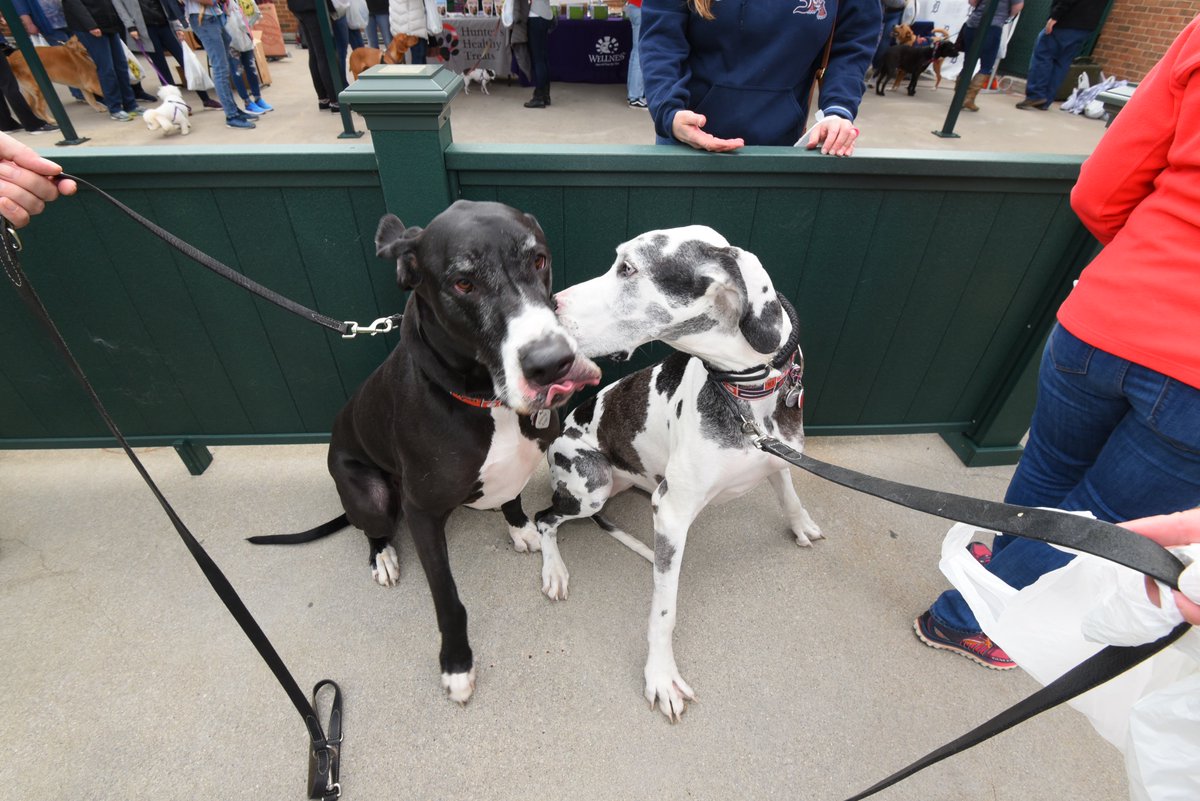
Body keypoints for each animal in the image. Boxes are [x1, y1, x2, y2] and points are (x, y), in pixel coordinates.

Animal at [248, 200, 601, 705]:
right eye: (464, 283)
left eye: (538, 260)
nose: (553, 363)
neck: (485, 398)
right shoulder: (422, 514)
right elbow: (447, 598)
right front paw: (456, 665)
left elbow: (512, 498)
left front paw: (520, 528)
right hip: (371, 495)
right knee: (373, 528)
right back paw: (383, 557)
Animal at [536, 226, 823, 721]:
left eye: (628, 268)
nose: (548, 304)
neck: (747, 392)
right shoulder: (671, 513)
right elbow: (663, 612)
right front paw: (661, 676)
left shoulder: (776, 454)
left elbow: (786, 488)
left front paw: (800, 523)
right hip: (590, 483)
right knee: (543, 518)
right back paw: (554, 569)